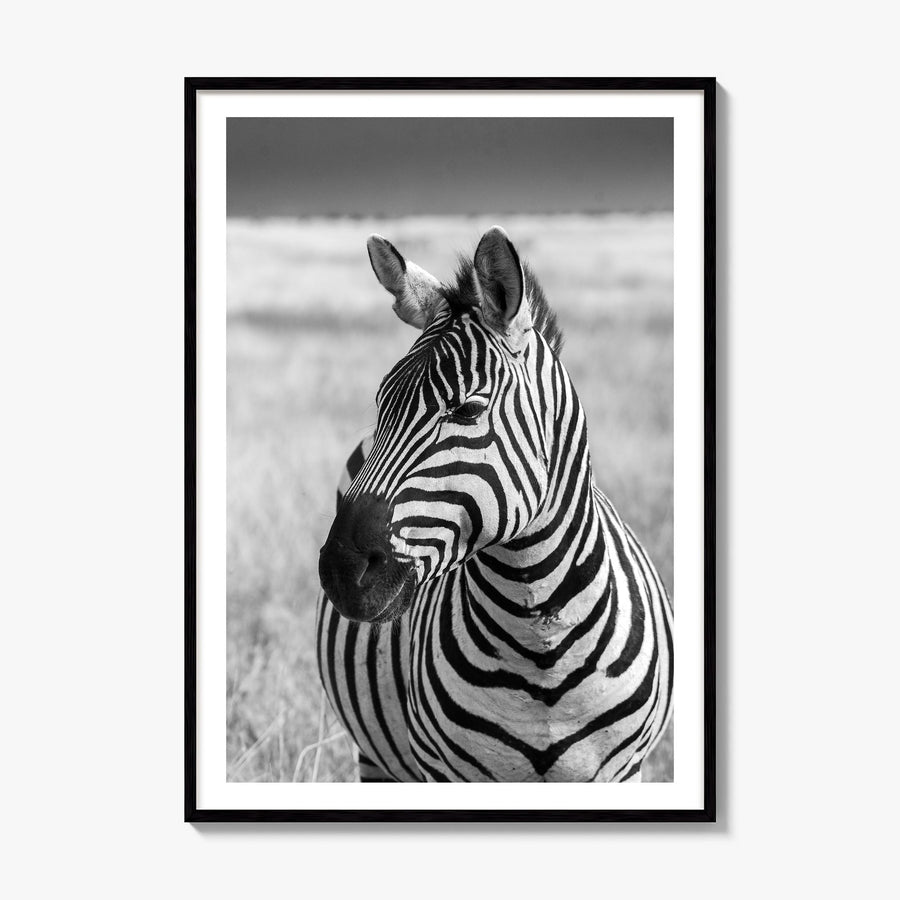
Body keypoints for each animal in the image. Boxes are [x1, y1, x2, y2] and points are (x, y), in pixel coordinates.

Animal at [316, 226, 673, 782]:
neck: (541, 644)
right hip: (376, 757)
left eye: (467, 410)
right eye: (381, 406)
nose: (341, 570)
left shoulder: (624, 770)